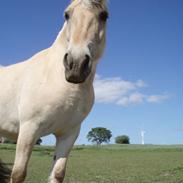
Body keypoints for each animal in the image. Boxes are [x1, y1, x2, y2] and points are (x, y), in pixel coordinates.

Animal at [0, 0, 108, 183]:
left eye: (104, 16)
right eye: (67, 14)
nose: (76, 65)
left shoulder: (68, 134)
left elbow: (58, 173)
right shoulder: (29, 129)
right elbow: (18, 173)